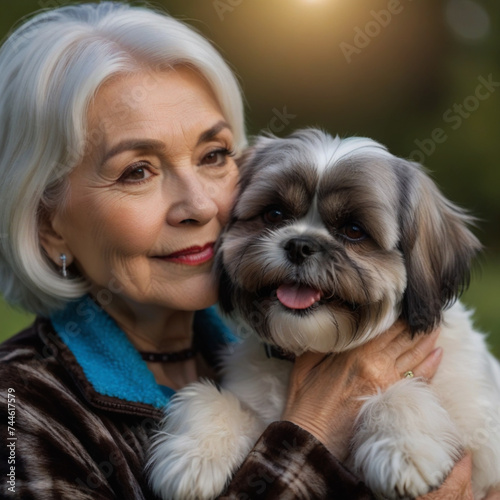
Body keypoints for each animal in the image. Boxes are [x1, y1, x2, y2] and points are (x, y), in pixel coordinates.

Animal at [147, 130, 500, 500]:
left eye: (354, 230)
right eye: (275, 214)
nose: (300, 244)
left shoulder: (485, 448)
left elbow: (402, 394)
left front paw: (403, 451)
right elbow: (210, 399)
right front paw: (195, 455)